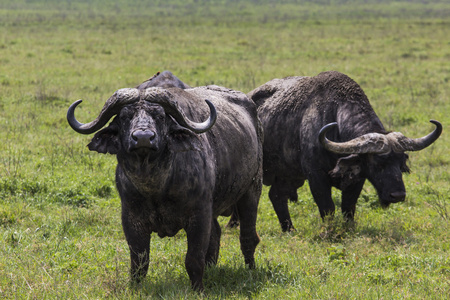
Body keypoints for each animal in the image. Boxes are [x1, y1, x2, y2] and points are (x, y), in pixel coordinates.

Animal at [67, 82, 264, 290]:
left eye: (160, 116)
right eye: (124, 117)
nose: (143, 137)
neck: (156, 187)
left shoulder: (199, 215)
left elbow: (193, 259)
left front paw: (198, 290)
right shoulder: (131, 219)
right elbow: (139, 262)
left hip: (252, 189)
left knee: (248, 237)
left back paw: (250, 270)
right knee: (217, 234)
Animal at [246, 70, 440, 232]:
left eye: (400, 163)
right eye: (377, 164)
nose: (398, 195)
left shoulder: (357, 179)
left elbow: (348, 207)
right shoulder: (315, 176)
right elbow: (327, 207)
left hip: (289, 174)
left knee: (277, 195)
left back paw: (289, 230)